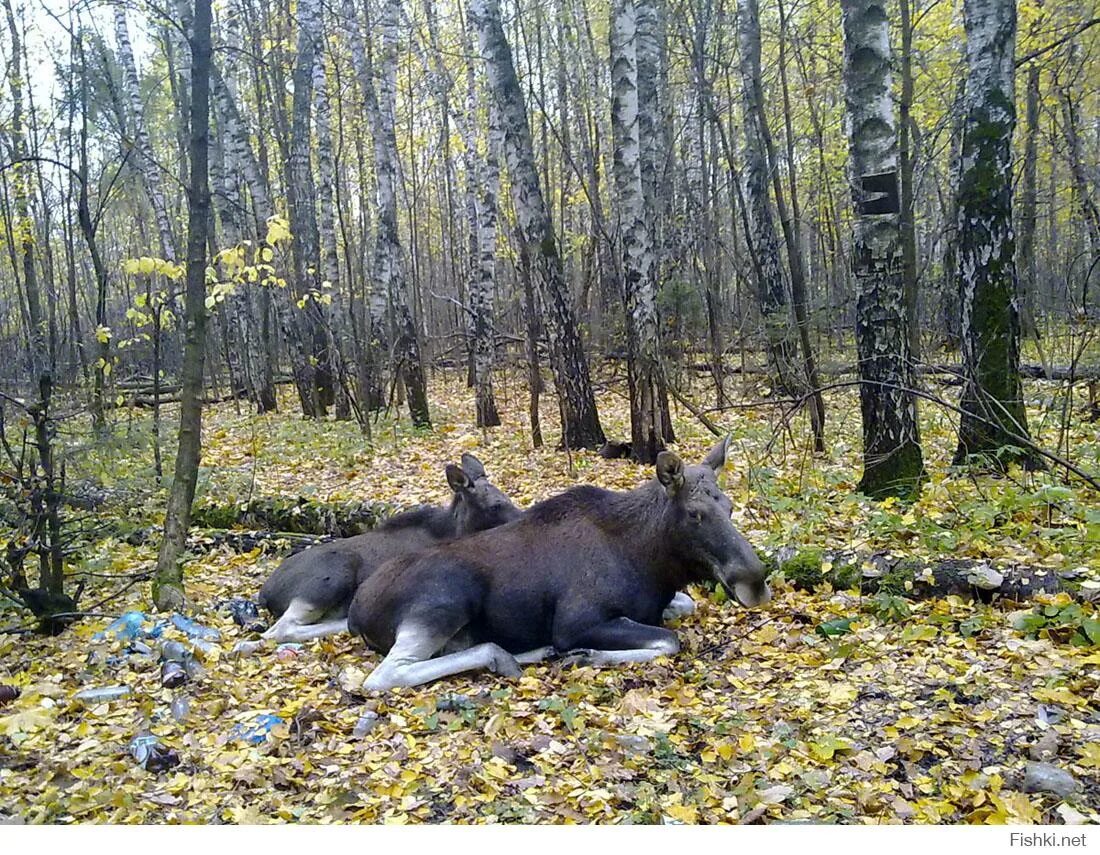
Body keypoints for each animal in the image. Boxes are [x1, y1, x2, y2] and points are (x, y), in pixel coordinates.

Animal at [257, 453, 519, 642]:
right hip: (329, 578)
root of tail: (264, 594)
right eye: (496, 505)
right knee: (279, 630)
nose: (522, 516)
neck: (455, 529)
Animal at [347, 437, 770, 691]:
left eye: (730, 507)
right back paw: (502, 655)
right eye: (695, 514)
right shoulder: (575, 621)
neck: (648, 561)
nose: (755, 582)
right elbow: (670, 640)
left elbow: (683, 608)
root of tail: (355, 615)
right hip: (443, 602)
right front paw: (587, 654)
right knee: (384, 676)